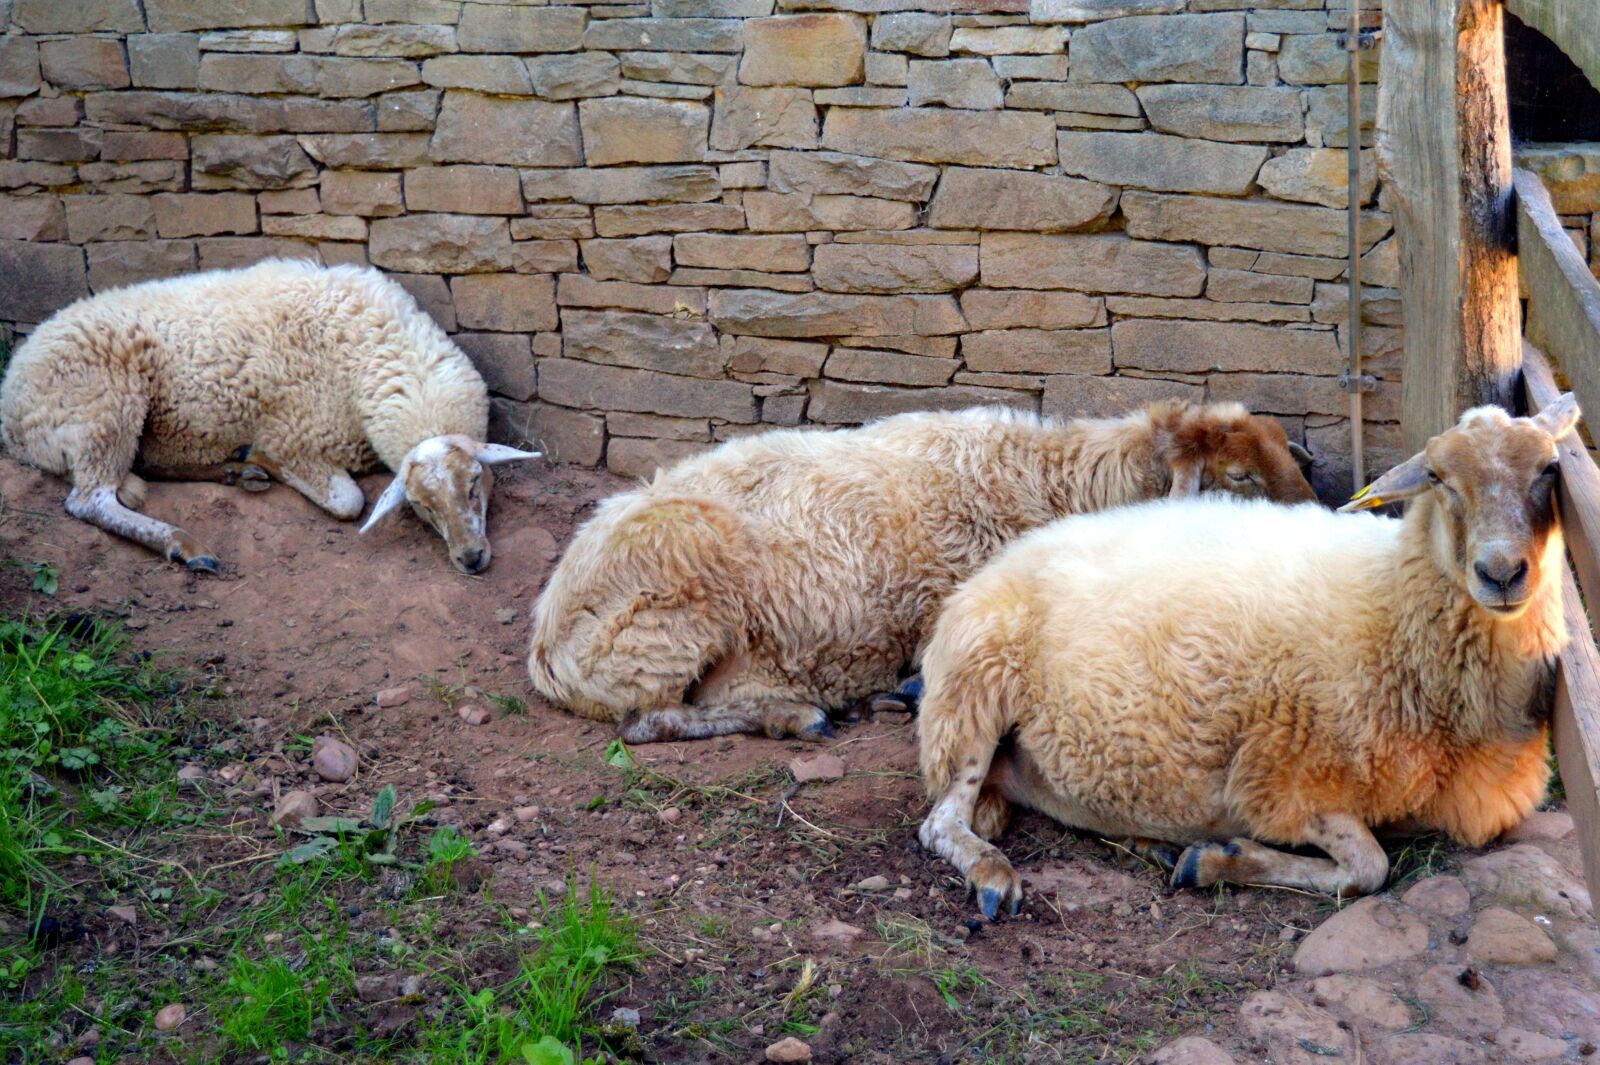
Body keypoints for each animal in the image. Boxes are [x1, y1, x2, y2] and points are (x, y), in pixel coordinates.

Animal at [0, 259, 539, 574]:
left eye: (475, 483)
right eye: (421, 506)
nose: (472, 560)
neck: (369, 345)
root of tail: (11, 408)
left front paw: (251, 463)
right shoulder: (295, 436)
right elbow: (347, 502)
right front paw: (269, 464)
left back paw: (234, 471)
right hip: (103, 405)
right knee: (90, 500)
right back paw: (183, 542)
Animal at [529, 400, 1316, 744]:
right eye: (1240, 476)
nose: (1320, 520)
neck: (1050, 484)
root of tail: (547, 642)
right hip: (676, 601)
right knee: (650, 717)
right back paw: (798, 713)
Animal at [915, 397, 1580, 919]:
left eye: (1549, 469)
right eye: (1438, 477)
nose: (1501, 573)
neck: (1391, 604)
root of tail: (1017, 549)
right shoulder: (1285, 779)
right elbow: (1369, 868)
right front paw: (1218, 861)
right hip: (972, 690)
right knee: (940, 821)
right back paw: (992, 875)